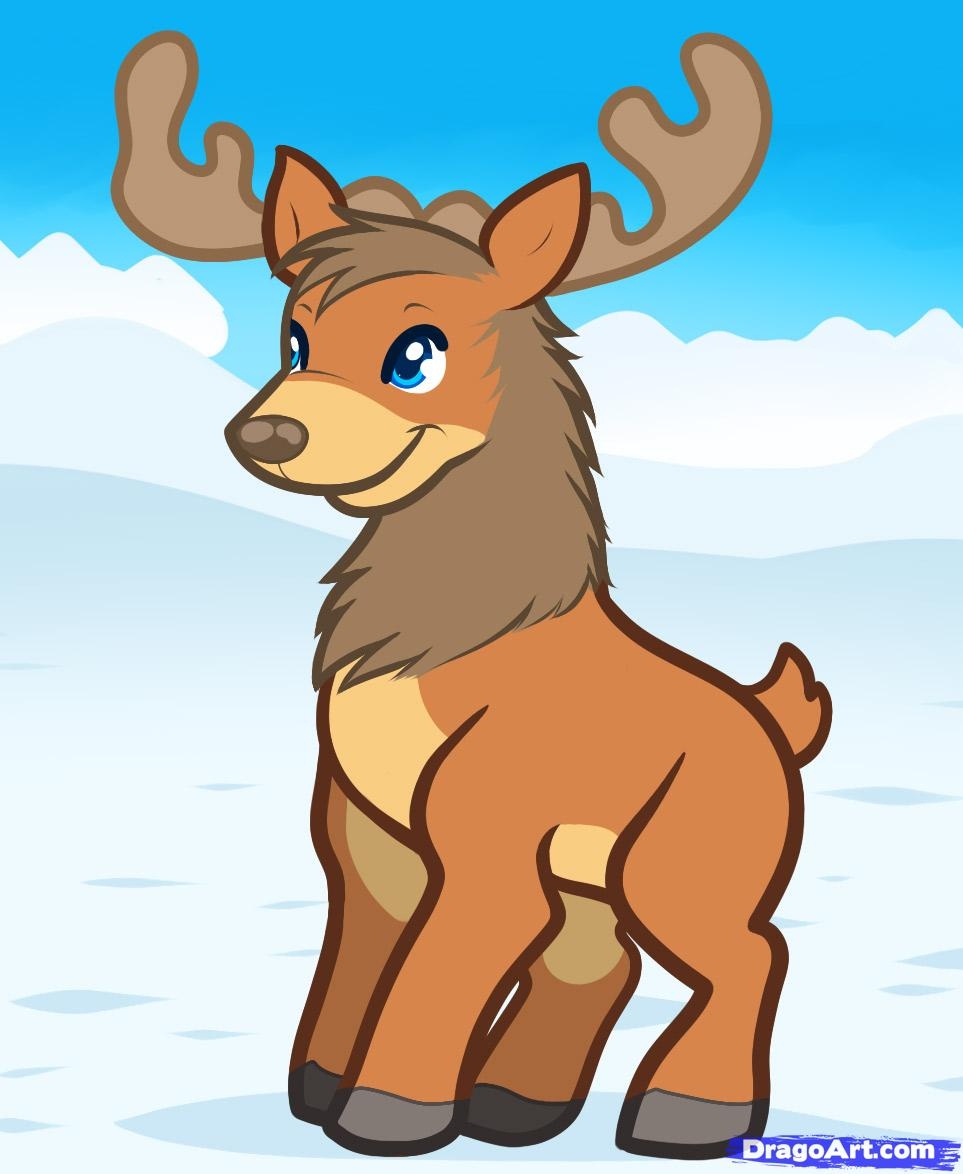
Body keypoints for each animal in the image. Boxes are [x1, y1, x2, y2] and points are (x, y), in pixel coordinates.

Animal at [112, 30, 831, 1159]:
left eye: (416, 354)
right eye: (295, 339)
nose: (263, 432)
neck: (452, 640)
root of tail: (772, 722)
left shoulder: (487, 846)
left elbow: (439, 971)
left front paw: (387, 1115)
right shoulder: (367, 836)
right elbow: (364, 958)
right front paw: (320, 1089)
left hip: (677, 866)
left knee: (749, 955)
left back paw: (684, 1116)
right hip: (592, 870)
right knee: (599, 956)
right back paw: (517, 1105)